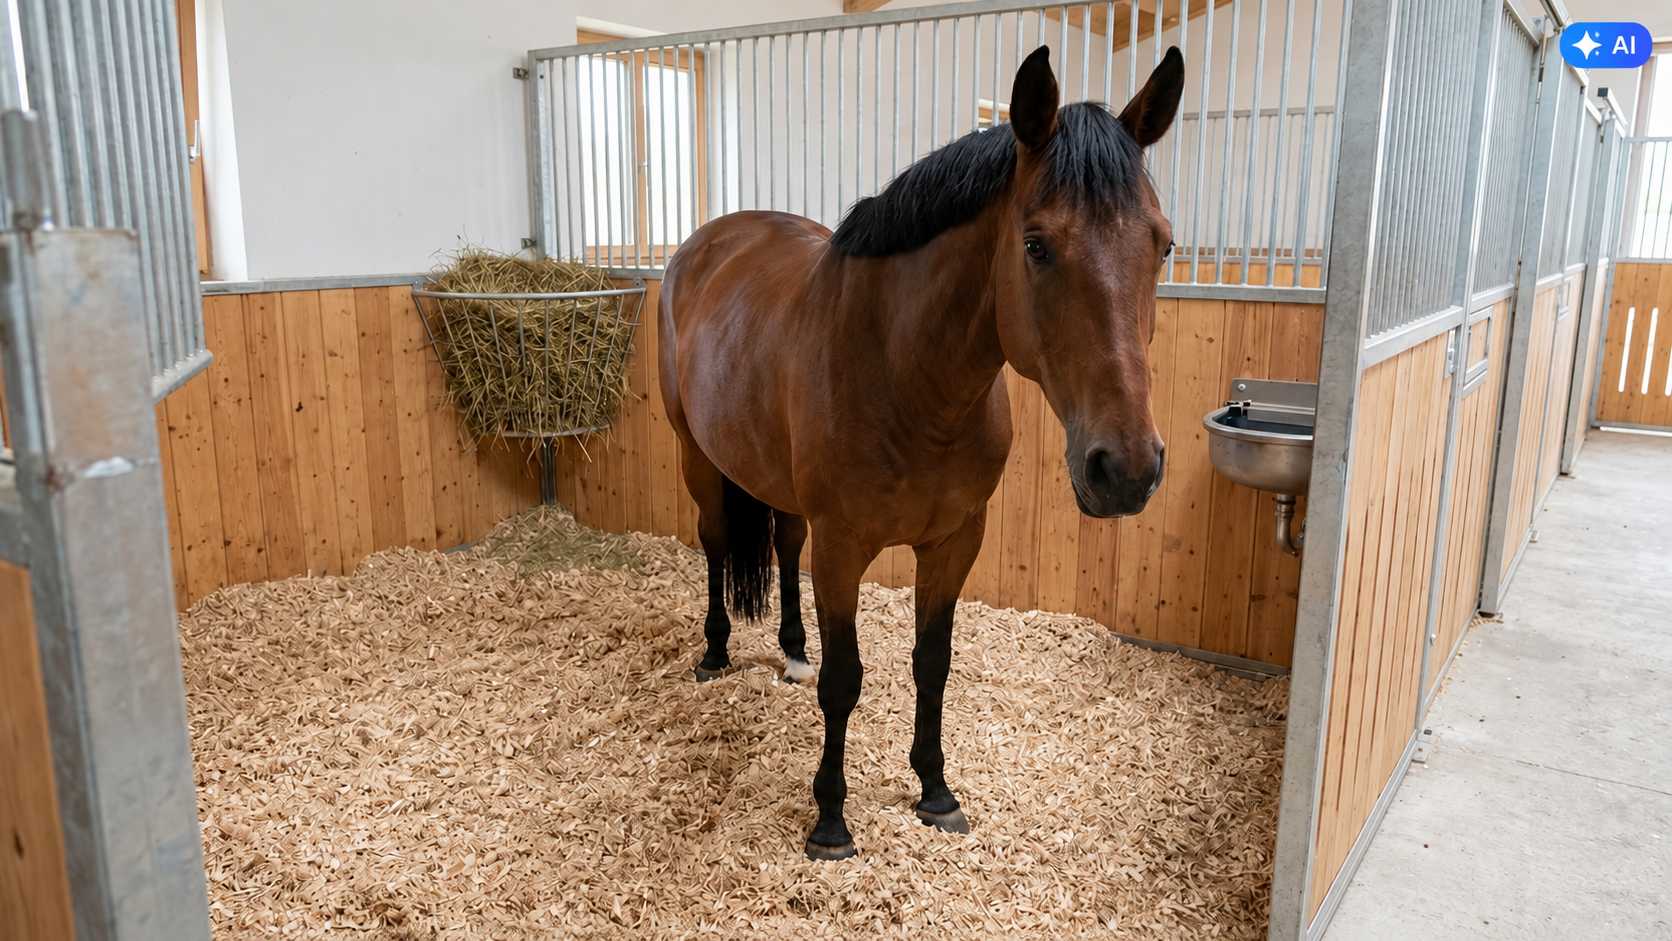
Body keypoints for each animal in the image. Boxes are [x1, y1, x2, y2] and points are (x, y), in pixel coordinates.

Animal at [658, 45, 1184, 860]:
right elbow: (845, 679)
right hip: (698, 457)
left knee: (783, 542)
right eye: (1036, 245)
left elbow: (931, 665)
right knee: (716, 544)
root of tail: (706, 244)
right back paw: (715, 654)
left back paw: (790, 650)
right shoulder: (843, 548)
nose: (1126, 469)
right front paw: (831, 820)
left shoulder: (955, 540)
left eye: (1161, 244)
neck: (907, 375)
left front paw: (935, 789)